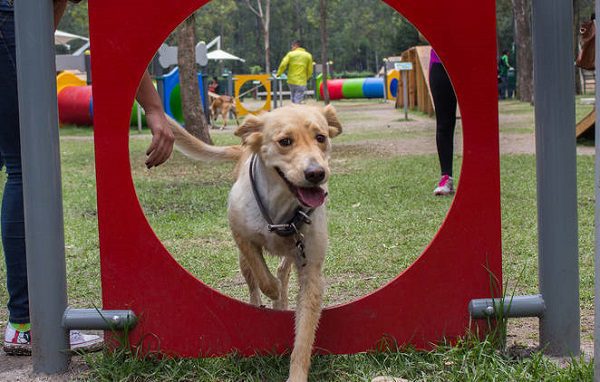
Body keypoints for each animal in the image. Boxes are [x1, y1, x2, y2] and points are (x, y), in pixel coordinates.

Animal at [169, 104, 342, 382]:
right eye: (285, 142)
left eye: (321, 137)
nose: (316, 173)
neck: (281, 209)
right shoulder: (240, 235)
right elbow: (261, 273)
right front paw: (271, 290)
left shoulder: (311, 271)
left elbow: (304, 334)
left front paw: (297, 375)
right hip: (242, 261)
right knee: (253, 283)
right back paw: (262, 301)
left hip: (292, 255)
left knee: (283, 271)